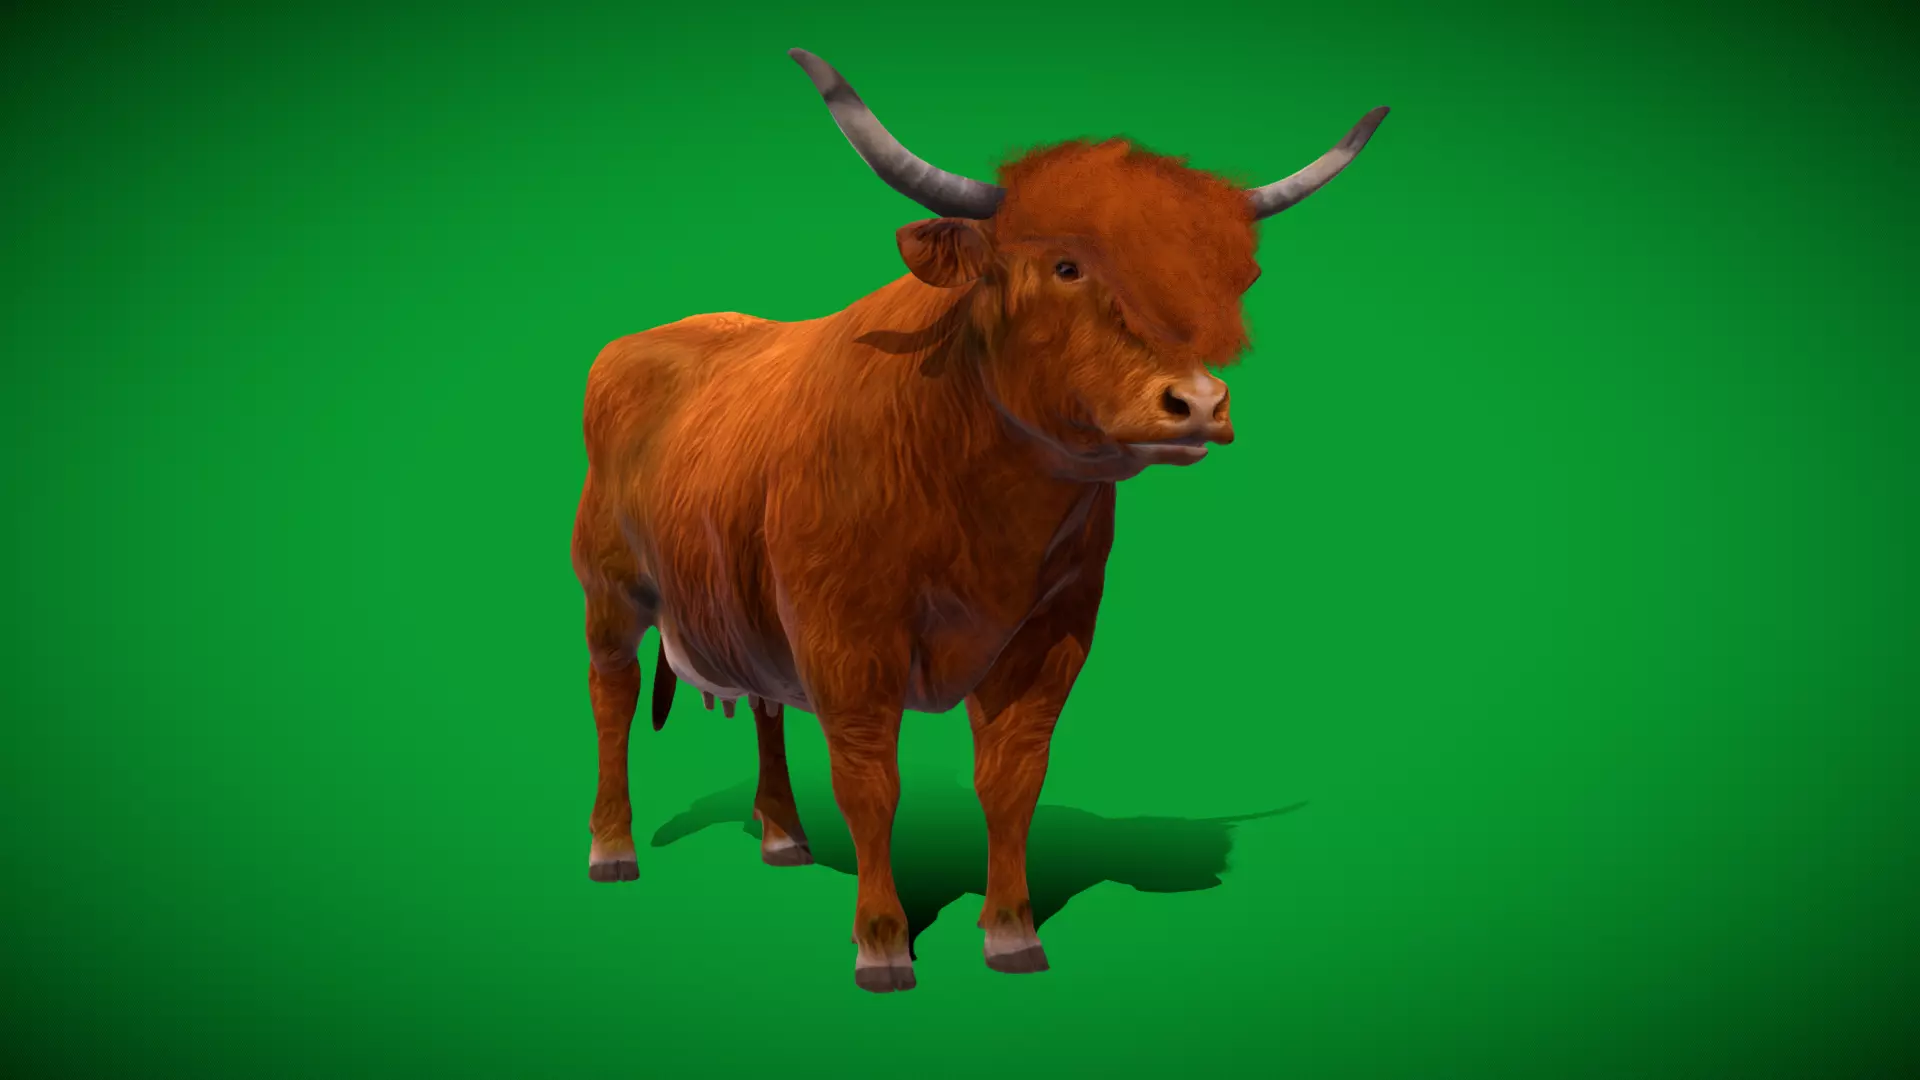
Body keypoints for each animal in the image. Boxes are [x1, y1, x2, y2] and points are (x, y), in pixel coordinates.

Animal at [570, 47, 1388, 993]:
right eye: (1066, 267)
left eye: (1235, 279)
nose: (1198, 404)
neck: (987, 507)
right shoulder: (848, 634)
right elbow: (869, 781)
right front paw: (882, 941)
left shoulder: (1053, 632)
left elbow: (1012, 778)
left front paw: (1011, 932)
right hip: (610, 591)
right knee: (612, 696)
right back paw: (612, 848)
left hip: (745, 602)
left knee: (768, 705)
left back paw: (782, 834)